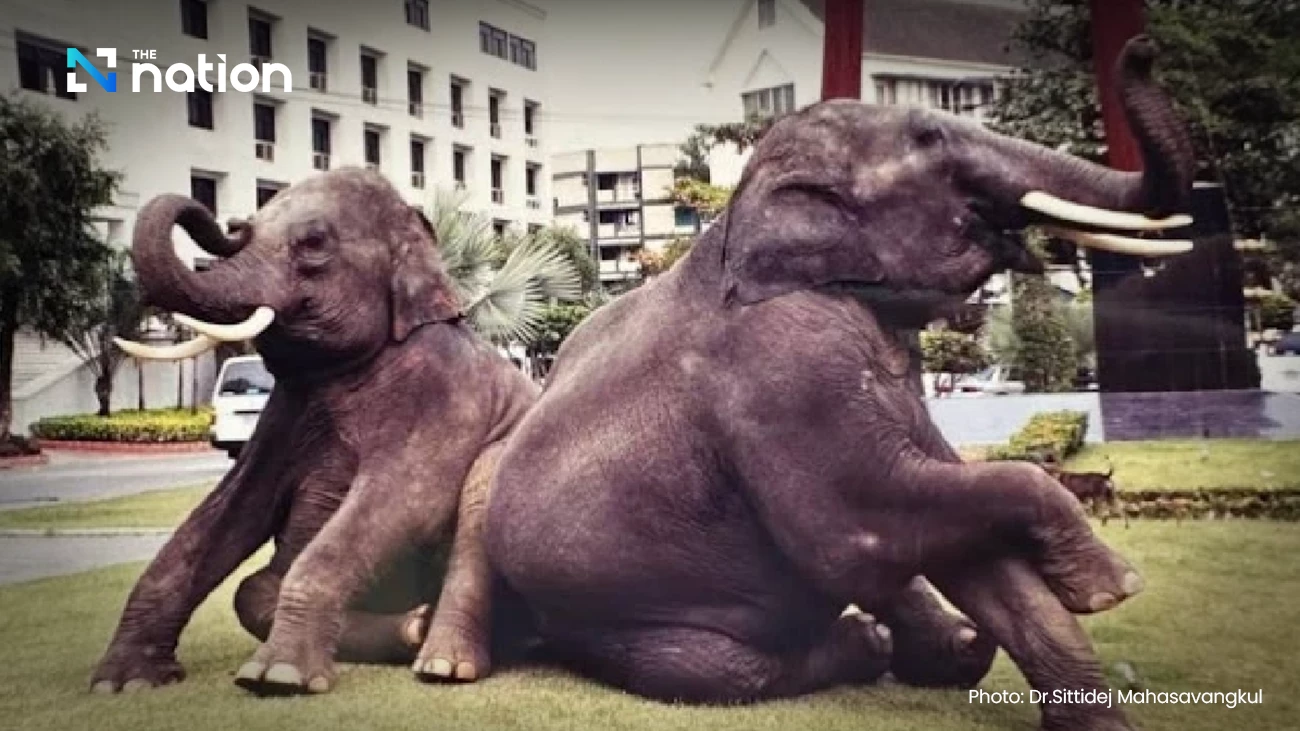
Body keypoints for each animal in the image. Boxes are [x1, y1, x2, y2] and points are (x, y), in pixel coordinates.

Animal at [91, 168, 537, 696]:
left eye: (314, 242)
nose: (232, 224)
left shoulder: (443, 394)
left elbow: (406, 502)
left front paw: (278, 676)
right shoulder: (282, 415)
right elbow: (230, 510)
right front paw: (123, 682)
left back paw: (441, 661)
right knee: (252, 587)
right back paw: (414, 628)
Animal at [485, 37, 1193, 731]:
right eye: (931, 135)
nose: (1142, 48)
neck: (740, 217)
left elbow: (966, 542)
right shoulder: (781, 370)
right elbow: (857, 532)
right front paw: (1112, 583)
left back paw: (955, 649)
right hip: (608, 619)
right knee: (713, 669)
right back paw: (870, 646)